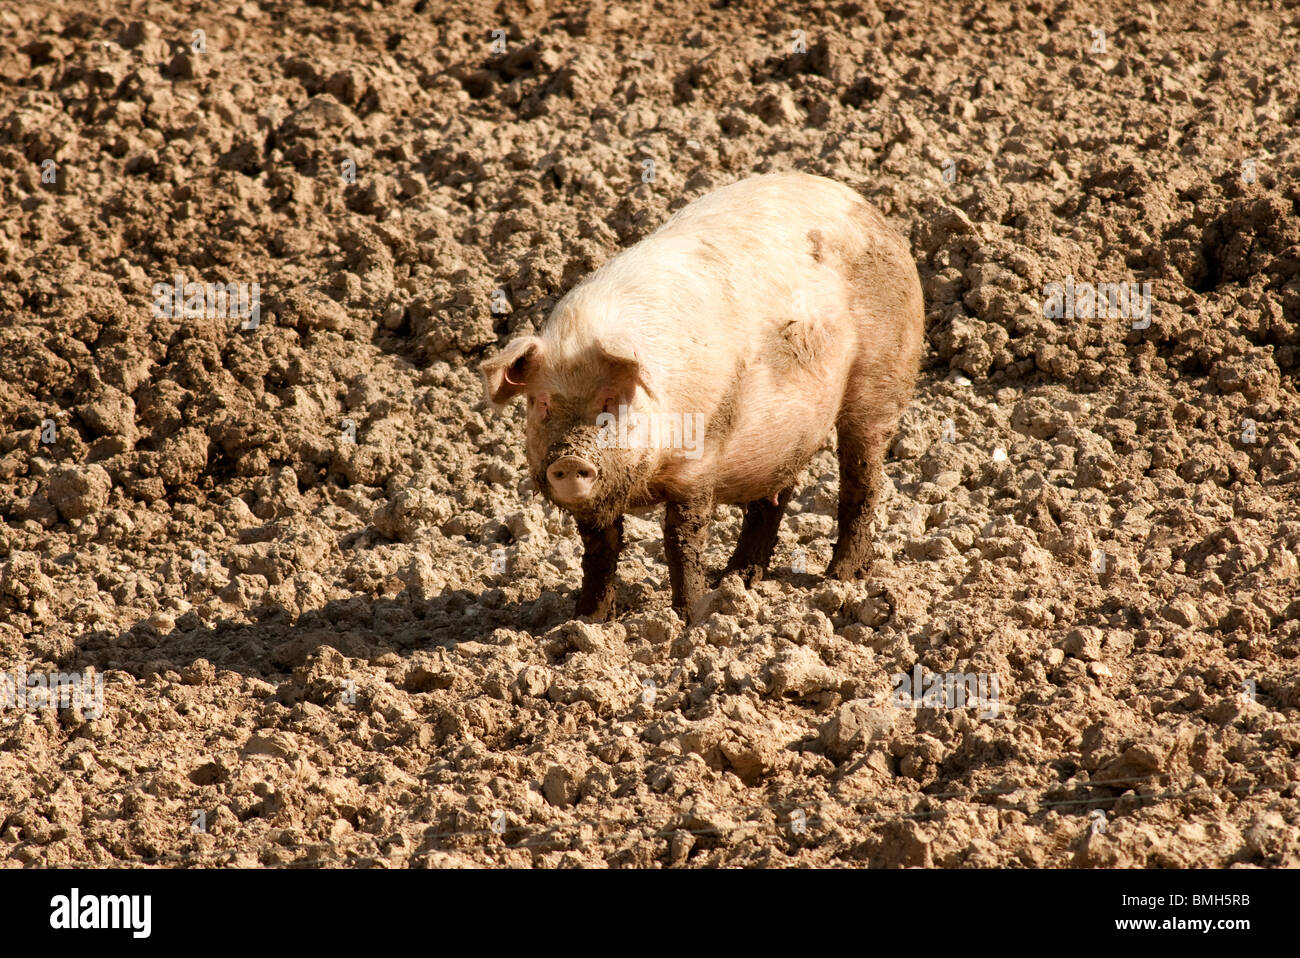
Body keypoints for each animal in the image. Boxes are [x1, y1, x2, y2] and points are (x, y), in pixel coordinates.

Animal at [480, 170, 925, 621]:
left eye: (610, 402)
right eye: (542, 404)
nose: (570, 459)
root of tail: (867, 207)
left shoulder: (699, 459)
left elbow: (682, 540)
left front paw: (691, 616)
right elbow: (599, 550)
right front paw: (585, 620)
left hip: (882, 381)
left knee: (862, 479)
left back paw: (840, 578)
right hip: (785, 433)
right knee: (775, 496)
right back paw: (738, 580)